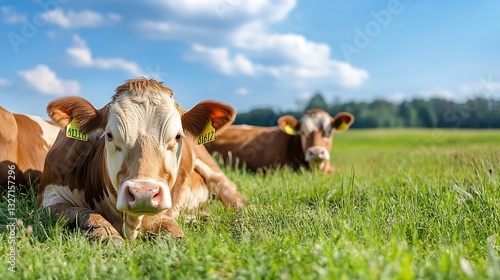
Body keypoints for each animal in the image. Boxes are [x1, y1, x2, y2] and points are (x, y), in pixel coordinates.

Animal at [36, 77, 245, 244]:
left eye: (178, 136)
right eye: (109, 135)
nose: (143, 194)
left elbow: (169, 227)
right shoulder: (49, 197)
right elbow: (86, 213)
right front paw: (106, 234)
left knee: (232, 194)